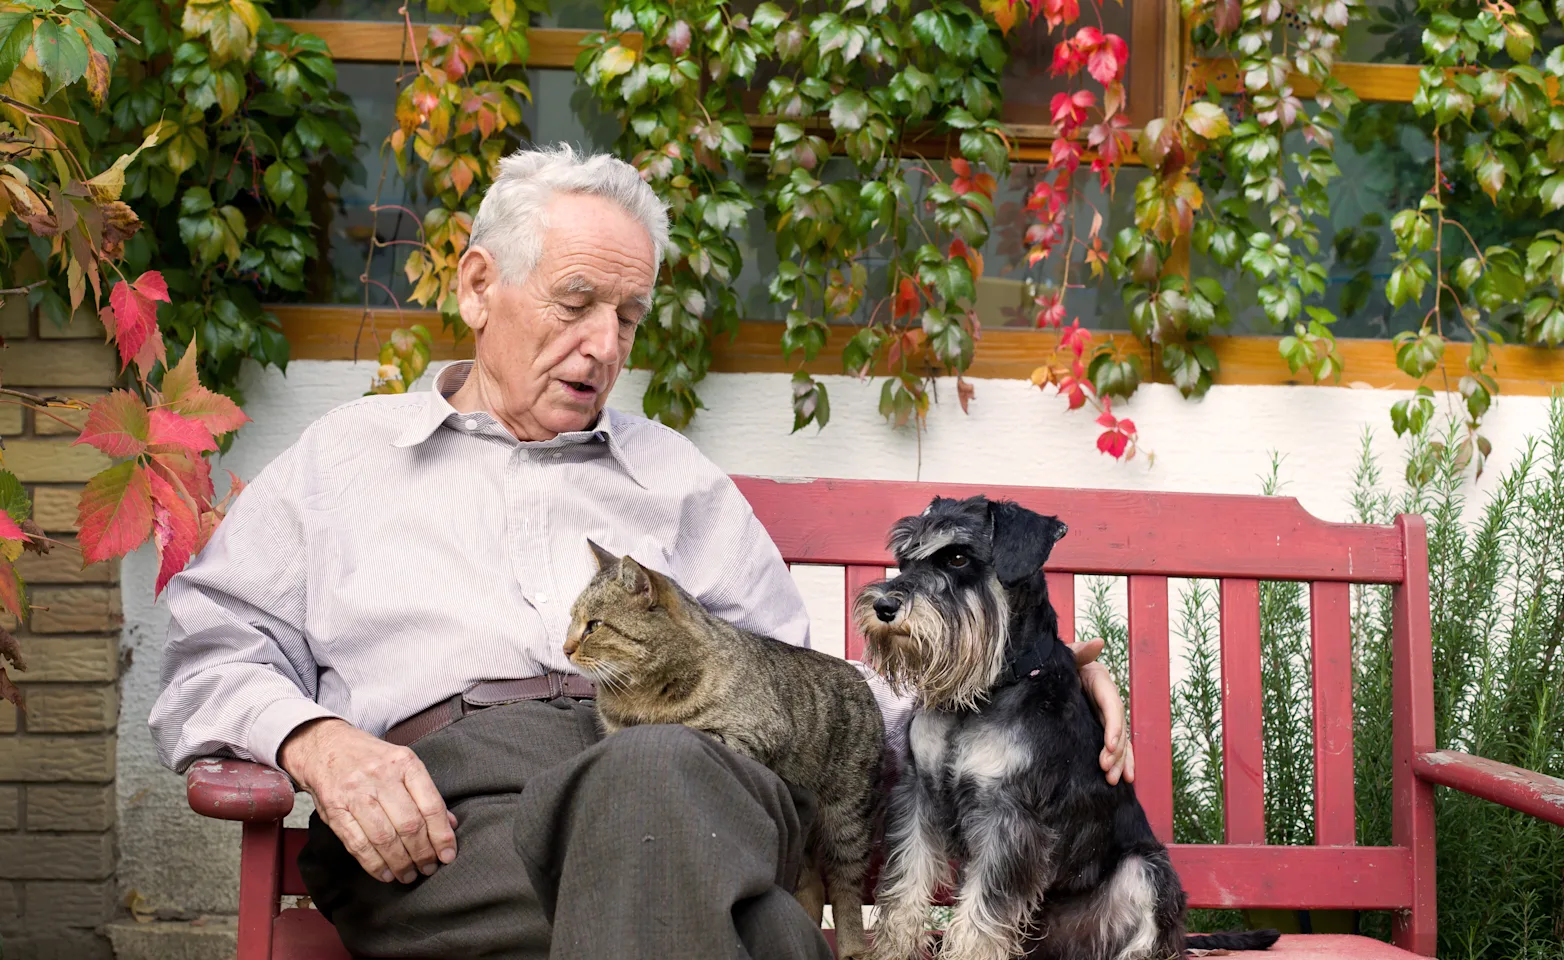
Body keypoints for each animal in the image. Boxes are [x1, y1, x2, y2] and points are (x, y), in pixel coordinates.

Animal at [563, 544, 888, 956]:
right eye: (571, 621)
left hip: (847, 820)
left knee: (846, 887)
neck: (639, 698)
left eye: (593, 626)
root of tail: (862, 679)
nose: (565, 648)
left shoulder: (747, 736)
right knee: (813, 886)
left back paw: (852, 946)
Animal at [857, 497, 1282, 960]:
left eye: (957, 557)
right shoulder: (919, 795)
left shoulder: (1009, 815)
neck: (985, 692)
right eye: (904, 559)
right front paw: (894, 949)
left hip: (1145, 870)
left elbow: (983, 912)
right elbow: (906, 883)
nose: (884, 607)